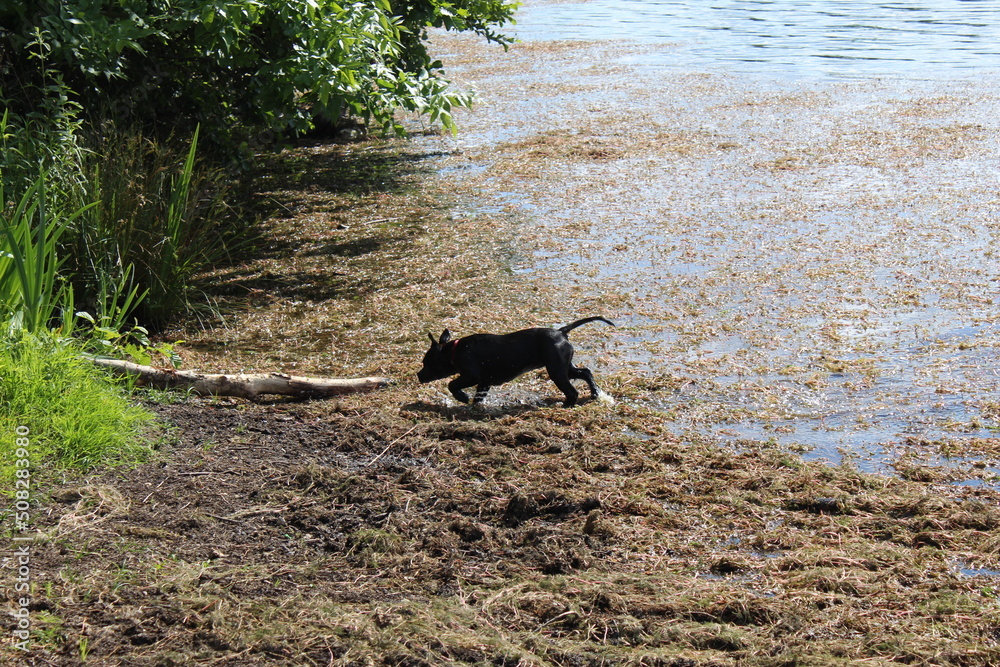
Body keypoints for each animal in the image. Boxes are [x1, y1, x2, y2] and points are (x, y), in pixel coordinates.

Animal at [416, 318, 616, 408]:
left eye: (427, 362)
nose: (418, 375)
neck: (454, 351)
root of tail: (561, 332)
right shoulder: (484, 382)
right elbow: (479, 397)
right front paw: (474, 405)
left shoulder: (471, 376)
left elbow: (452, 384)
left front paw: (462, 397)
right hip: (565, 367)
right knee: (586, 372)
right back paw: (595, 393)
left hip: (556, 371)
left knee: (572, 391)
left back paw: (566, 405)